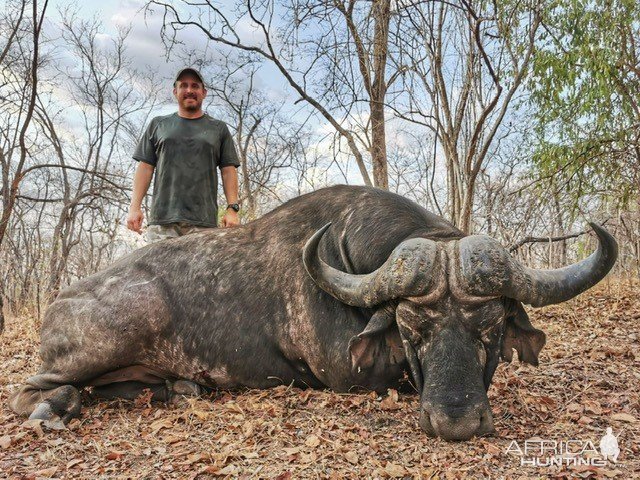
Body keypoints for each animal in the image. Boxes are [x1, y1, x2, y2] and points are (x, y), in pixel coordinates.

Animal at [7, 186, 616, 440]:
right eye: (409, 325)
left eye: (488, 325)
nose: (456, 421)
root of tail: (58, 301)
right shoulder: (350, 374)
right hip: (116, 332)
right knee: (33, 391)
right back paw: (52, 409)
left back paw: (180, 388)